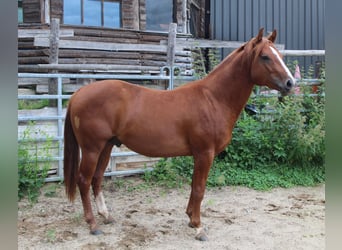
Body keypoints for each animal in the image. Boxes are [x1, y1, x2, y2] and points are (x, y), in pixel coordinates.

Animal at [63, 28, 294, 241]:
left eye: (279, 56)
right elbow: (199, 189)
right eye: (265, 56)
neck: (213, 99)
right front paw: (199, 227)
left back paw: (106, 215)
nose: (291, 83)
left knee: (97, 178)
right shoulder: (205, 153)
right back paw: (93, 224)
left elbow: (194, 186)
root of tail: (78, 94)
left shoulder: (199, 155)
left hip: (107, 146)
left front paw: (191, 219)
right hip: (92, 149)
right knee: (84, 180)